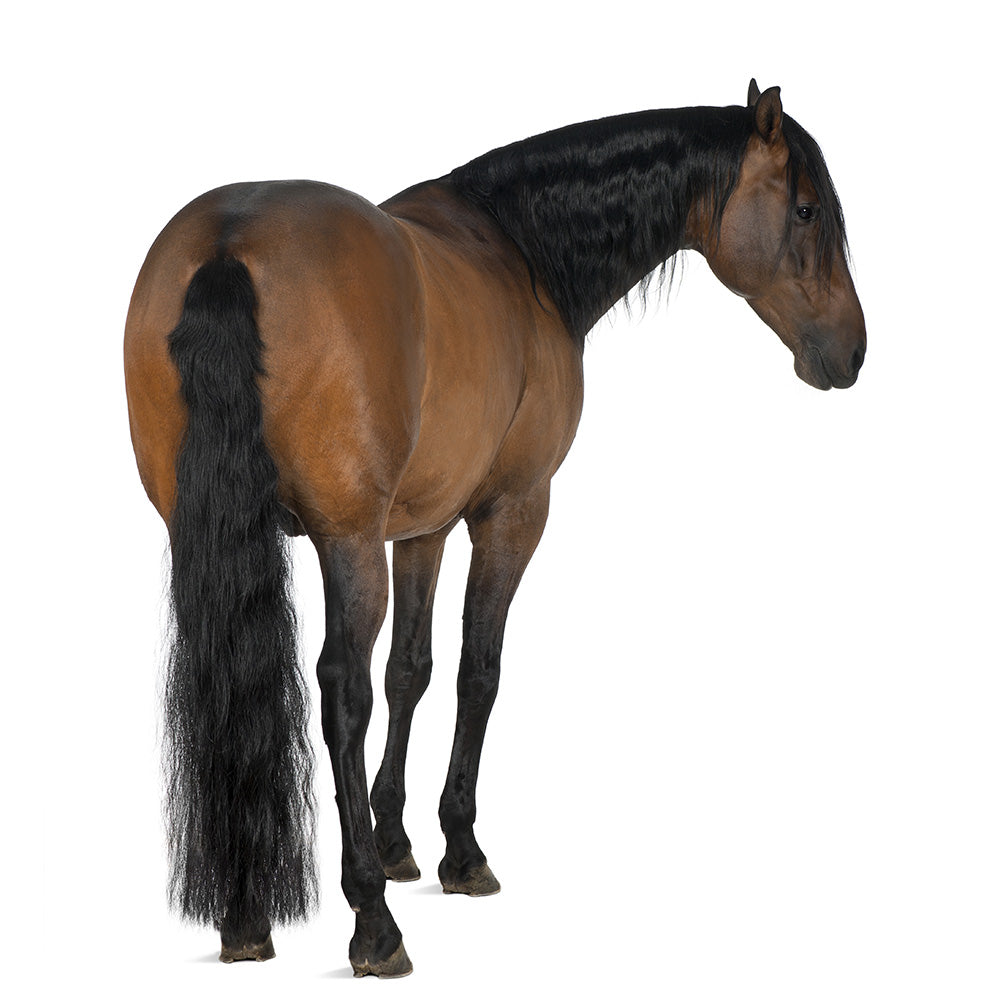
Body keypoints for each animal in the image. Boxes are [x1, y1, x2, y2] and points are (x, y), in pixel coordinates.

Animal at [124, 80, 866, 977]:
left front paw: (398, 839)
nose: (852, 353)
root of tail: (230, 241)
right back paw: (372, 924)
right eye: (805, 211)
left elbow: (412, 670)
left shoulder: (423, 529)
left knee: (233, 677)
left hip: (208, 535)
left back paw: (244, 915)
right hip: (347, 543)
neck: (523, 254)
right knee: (341, 691)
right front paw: (459, 852)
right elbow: (477, 672)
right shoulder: (512, 512)